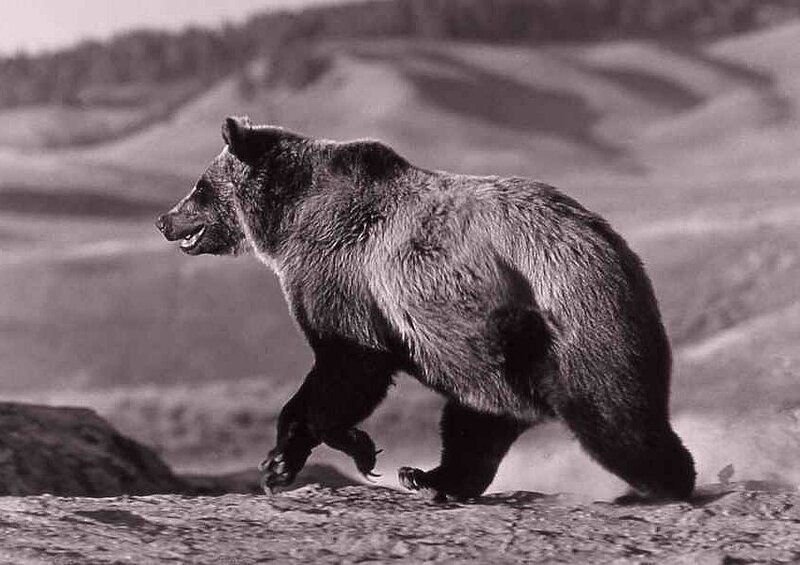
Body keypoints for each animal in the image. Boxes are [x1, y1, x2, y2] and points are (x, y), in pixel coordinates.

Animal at [156, 116, 696, 501]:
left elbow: (348, 369)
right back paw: (431, 477)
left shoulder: (344, 276)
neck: (288, 220)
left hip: (563, 318)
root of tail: (620, 251)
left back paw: (664, 482)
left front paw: (347, 448)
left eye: (199, 186)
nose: (164, 219)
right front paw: (280, 464)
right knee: (475, 423)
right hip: (488, 355)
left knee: (610, 414)